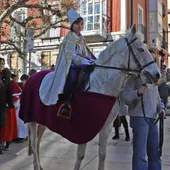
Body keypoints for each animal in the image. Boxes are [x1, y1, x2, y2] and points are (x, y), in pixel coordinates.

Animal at [25, 24, 160, 170]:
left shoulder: (106, 126)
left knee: (38, 140)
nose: (157, 75)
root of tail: (32, 77)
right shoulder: (84, 127)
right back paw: (36, 166)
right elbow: (80, 155)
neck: (101, 86)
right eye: (140, 49)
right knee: (33, 141)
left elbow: (102, 154)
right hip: (32, 120)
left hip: (42, 120)